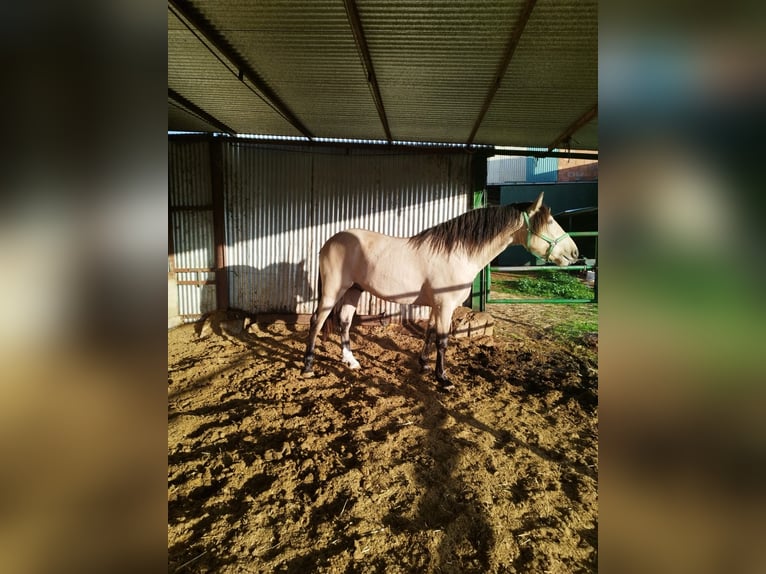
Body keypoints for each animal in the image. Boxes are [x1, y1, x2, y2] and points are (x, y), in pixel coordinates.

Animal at [304, 192, 580, 392]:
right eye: (550, 222)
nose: (574, 253)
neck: (456, 253)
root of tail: (330, 241)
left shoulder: (437, 306)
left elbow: (429, 333)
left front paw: (424, 365)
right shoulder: (446, 305)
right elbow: (443, 340)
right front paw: (444, 379)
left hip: (354, 290)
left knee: (344, 322)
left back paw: (350, 361)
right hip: (333, 290)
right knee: (316, 321)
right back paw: (307, 366)